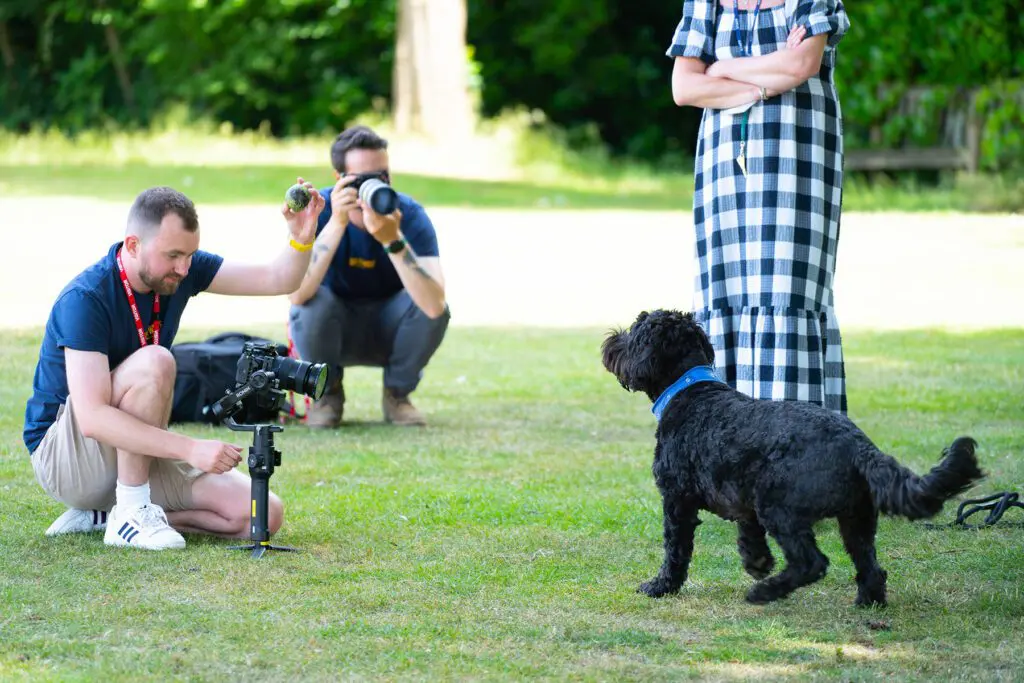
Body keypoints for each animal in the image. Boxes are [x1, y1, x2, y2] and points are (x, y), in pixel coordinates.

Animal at [598, 307, 983, 606]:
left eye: (634, 331)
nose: (610, 339)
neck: (692, 392)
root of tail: (860, 446)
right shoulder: (742, 498)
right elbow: (749, 533)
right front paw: (757, 562)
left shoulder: (677, 499)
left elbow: (675, 549)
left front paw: (660, 586)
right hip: (855, 518)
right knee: (870, 563)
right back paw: (867, 600)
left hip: (780, 507)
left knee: (812, 562)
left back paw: (766, 592)